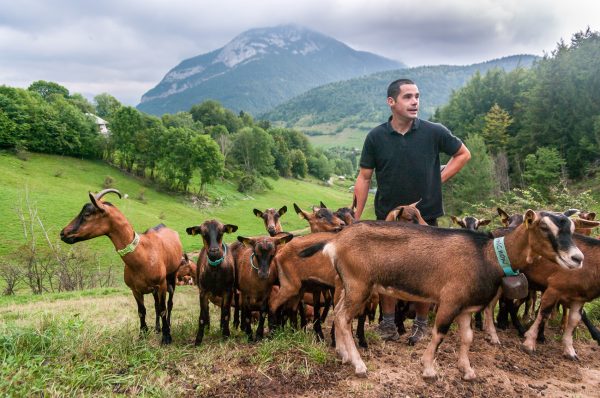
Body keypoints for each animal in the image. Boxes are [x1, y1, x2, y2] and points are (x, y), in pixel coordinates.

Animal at [61, 188, 184, 344]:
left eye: (87, 214)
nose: (63, 233)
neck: (142, 254)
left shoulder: (160, 284)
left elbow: (163, 309)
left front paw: (167, 337)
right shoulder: (135, 290)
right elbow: (142, 311)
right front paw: (142, 334)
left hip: (172, 276)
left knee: (169, 304)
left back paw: (167, 326)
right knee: (156, 305)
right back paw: (157, 328)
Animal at [302, 210, 584, 378]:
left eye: (571, 228)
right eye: (544, 227)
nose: (577, 258)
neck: (488, 255)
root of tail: (336, 241)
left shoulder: (467, 307)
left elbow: (467, 338)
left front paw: (467, 370)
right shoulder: (450, 300)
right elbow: (439, 333)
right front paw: (429, 369)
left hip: (348, 284)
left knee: (340, 313)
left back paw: (343, 355)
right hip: (359, 284)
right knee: (342, 317)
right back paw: (359, 364)